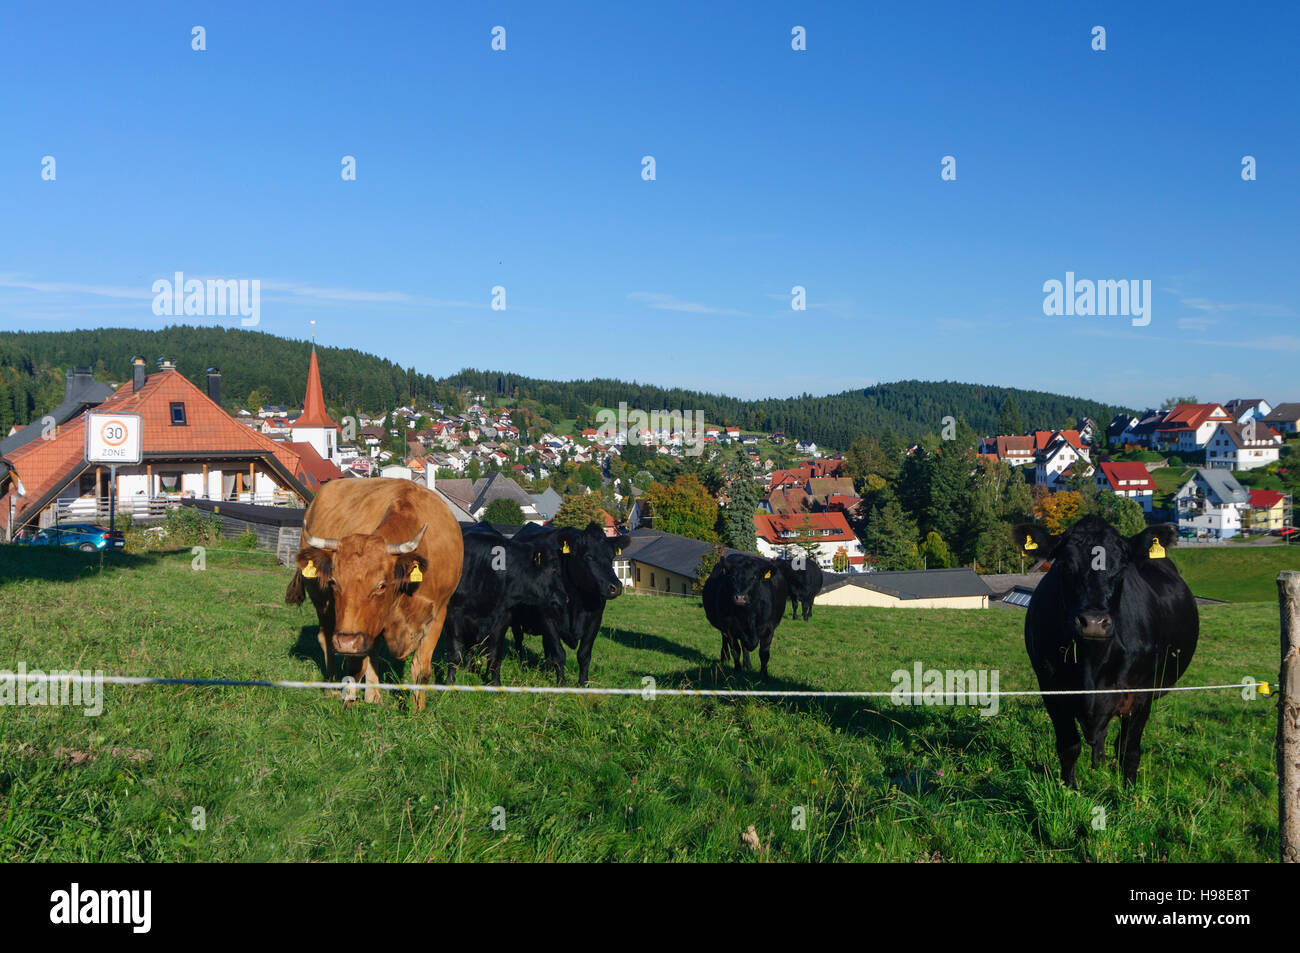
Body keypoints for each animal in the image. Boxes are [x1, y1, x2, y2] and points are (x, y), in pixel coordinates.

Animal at [284, 475, 462, 707]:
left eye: (381, 585)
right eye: (334, 582)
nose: (346, 642)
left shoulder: (438, 614)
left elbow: (421, 671)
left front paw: (418, 709)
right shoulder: (353, 626)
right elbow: (354, 666)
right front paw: (348, 702)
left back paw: (373, 695)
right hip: (323, 603)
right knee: (327, 639)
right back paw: (333, 687)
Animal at [444, 520, 566, 686]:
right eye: (553, 570)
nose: (565, 597)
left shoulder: (503, 618)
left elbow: (494, 655)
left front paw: (495, 684)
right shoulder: (453, 613)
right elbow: (455, 653)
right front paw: (449, 683)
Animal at [506, 520, 629, 686]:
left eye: (611, 557)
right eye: (588, 556)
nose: (615, 587)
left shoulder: (595, 620)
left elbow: (584, 655)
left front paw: (583, 683)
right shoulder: (547, 617)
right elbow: (559, 654)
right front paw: (561, 683)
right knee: (519, 638)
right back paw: (522, 662)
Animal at [1013, 517, 1196, 785]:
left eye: (1121, 569)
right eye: (1065, 566)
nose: (1094, 622)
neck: (1092, 663)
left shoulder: (1141, 694)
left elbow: (1128, 750)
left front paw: (1129, 791)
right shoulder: (1051, 689)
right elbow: (1069, 746)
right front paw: (1069, 788)